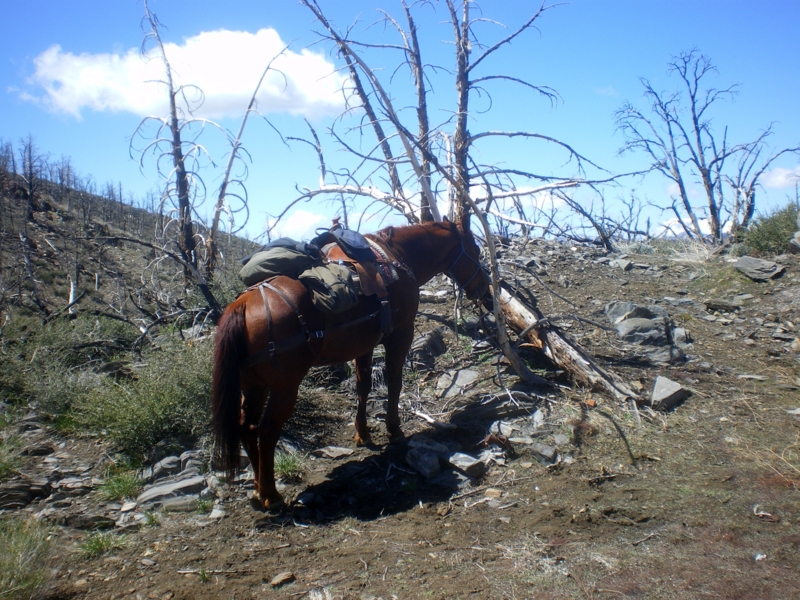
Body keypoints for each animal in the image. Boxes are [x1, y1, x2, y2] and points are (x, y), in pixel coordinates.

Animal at [212, 215, 490, 511]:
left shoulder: (364, 345)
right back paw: (270, 494)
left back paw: (257, 488)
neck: (399, 258)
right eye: (475, 250)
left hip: (253, 386)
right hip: (284, 387)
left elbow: (363, 387)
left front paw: (363, 434)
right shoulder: (400, 335)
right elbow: (394, 383)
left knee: (246, 427)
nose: (484, 288)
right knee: (266, 431)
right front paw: (394, 430)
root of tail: (242, 304)